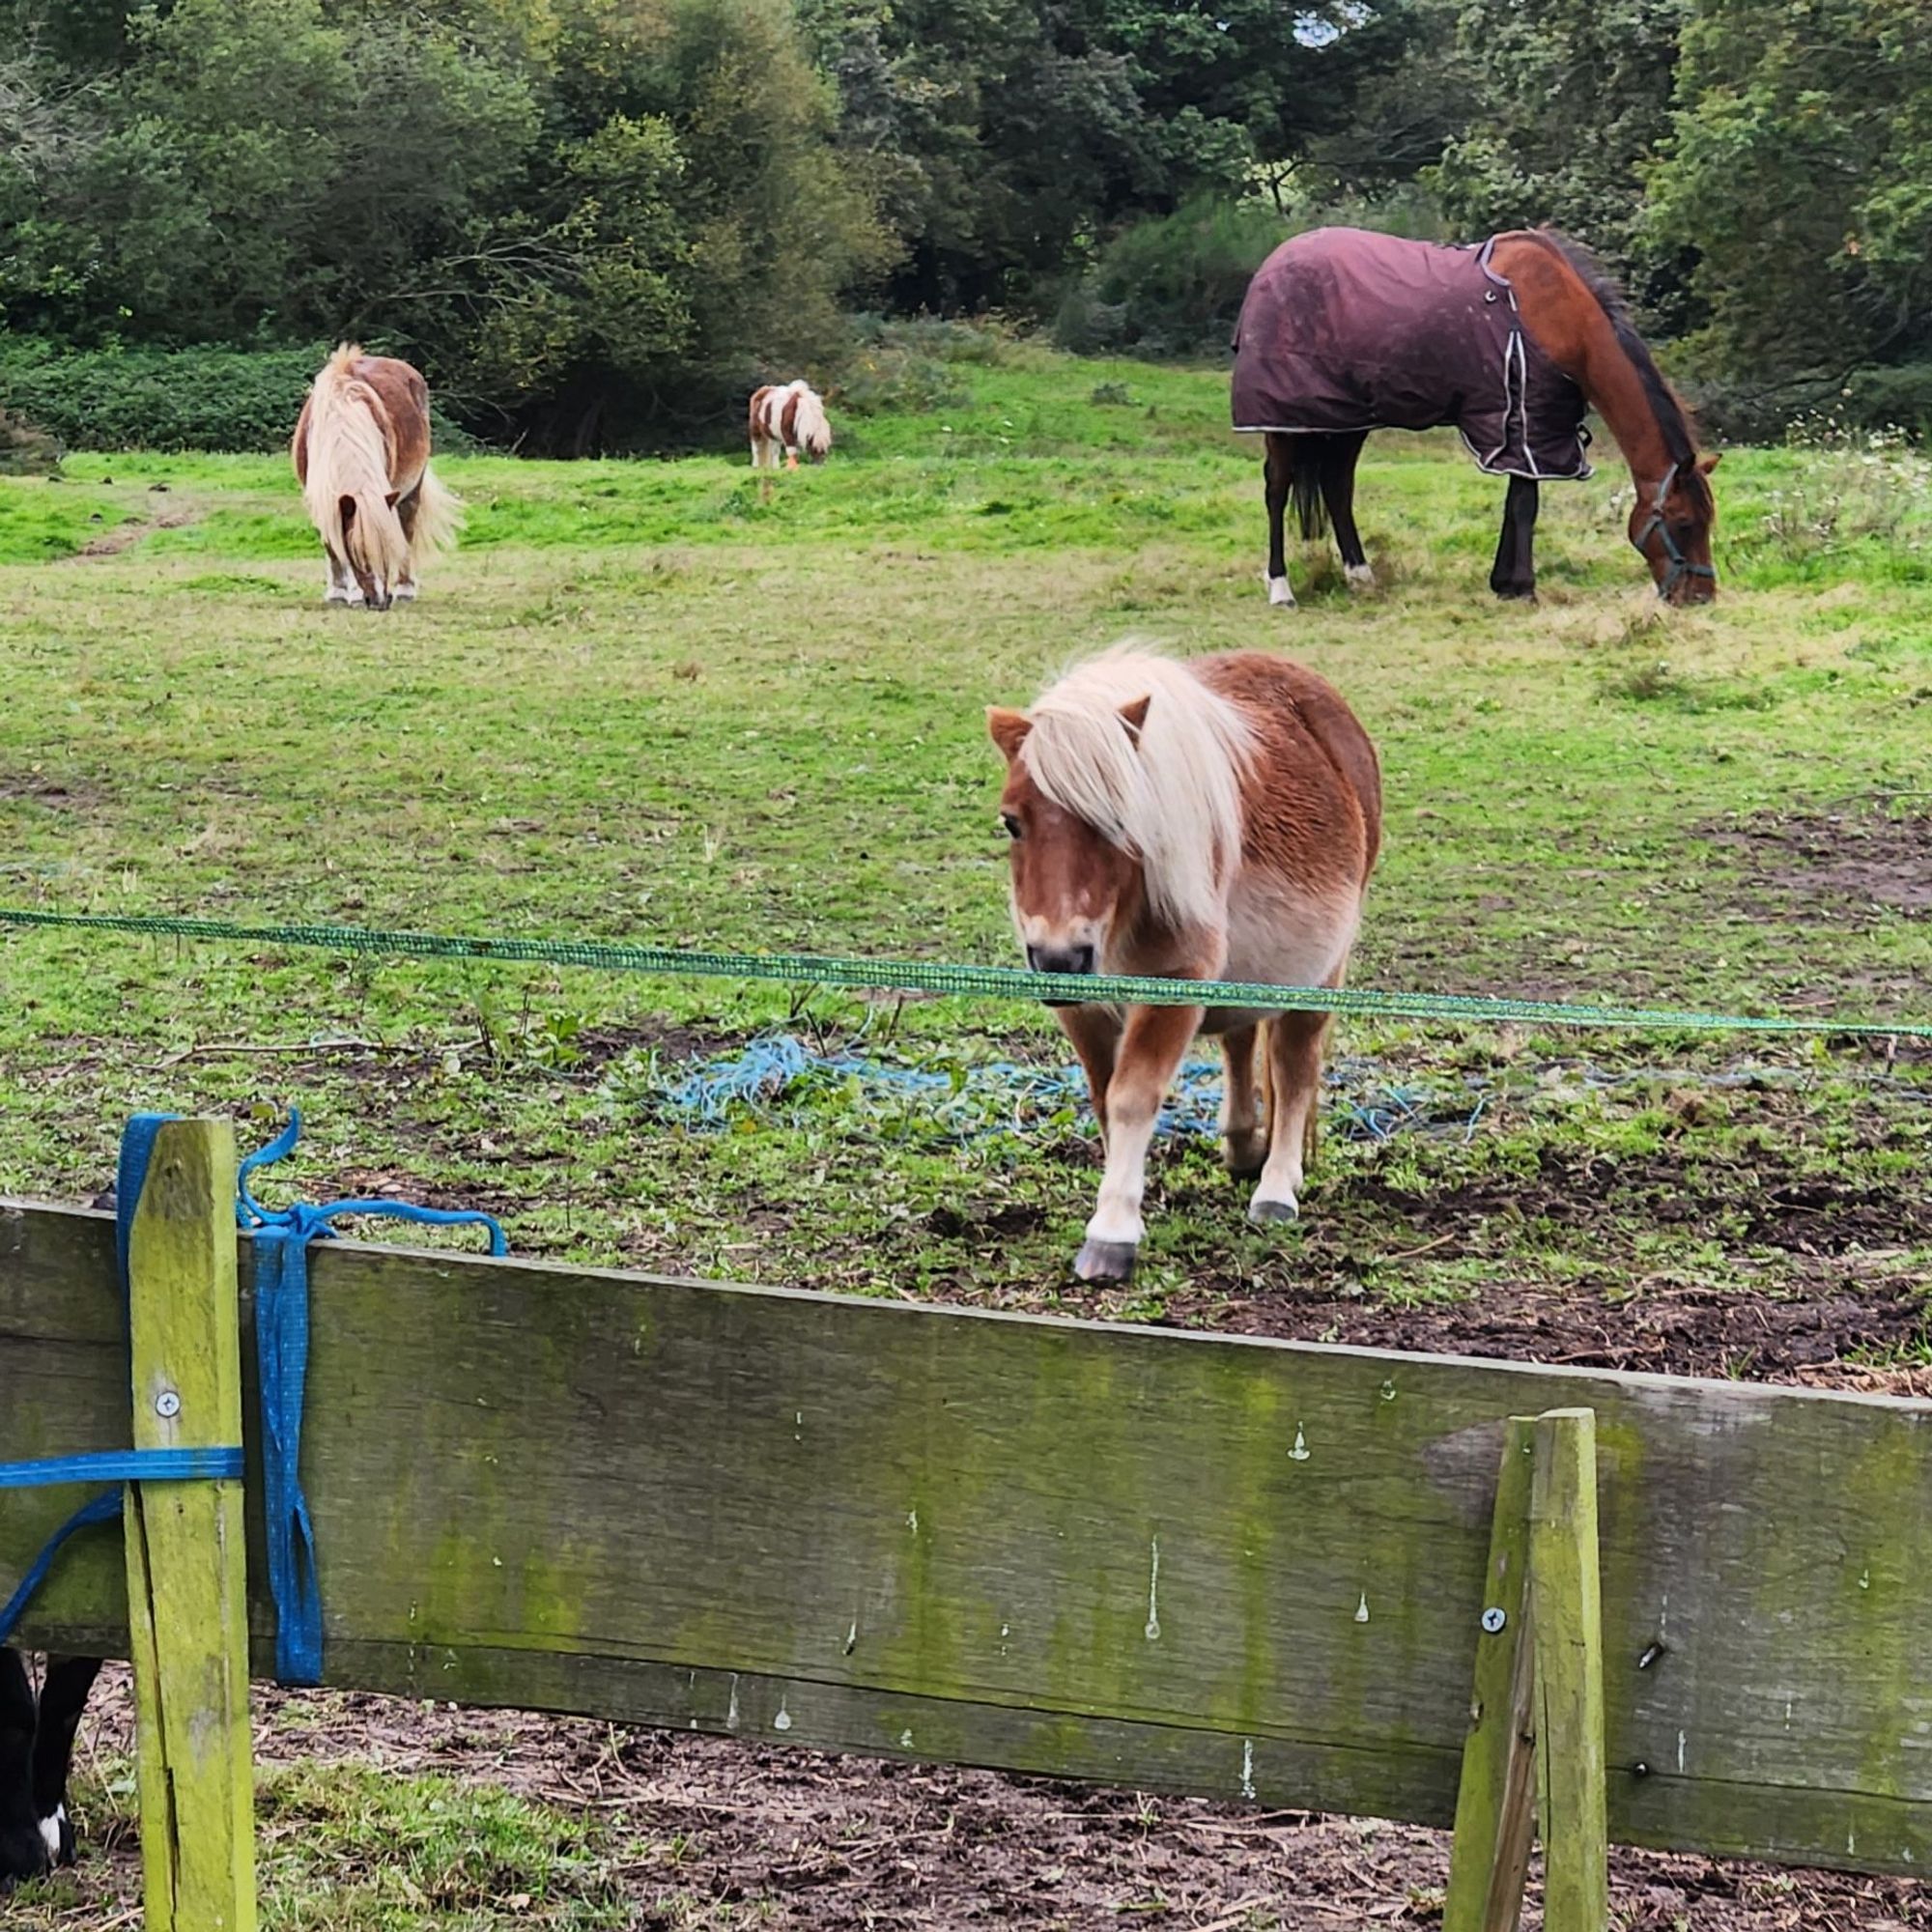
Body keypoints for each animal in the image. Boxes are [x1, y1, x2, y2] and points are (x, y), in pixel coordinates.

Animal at [292, 344, 458, 607]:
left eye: (386, 550)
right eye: (358, 553)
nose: (380, 600)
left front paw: (354, 595)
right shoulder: (320, 497)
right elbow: (332, 545)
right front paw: (338, 592)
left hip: (412, 489)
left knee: (407, 529)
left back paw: (405, 589)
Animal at [989, 645, 1383, 1283]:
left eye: (1119, 820)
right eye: (1011, 822)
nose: (1061, 957)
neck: (1127, 906)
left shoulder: (1173, 988)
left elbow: (1132, 1095)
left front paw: (1111, 1233)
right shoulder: (1084, 1011)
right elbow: (1104, 1097)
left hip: (1321, 973)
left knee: (1294, 1066)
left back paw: (1277, 1187)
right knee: (1241, 1043)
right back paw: (1244, 1146)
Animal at [1229, 232, 1716, 611]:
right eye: (1684, 523)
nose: (1701, 597)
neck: (1563, 320)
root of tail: (1272, 265)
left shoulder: (1526, 427)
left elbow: (1516, 503)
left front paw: (1506, 583)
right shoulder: (1525, 423)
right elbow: (1524, 506)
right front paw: (1523, 588)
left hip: (1346, 418)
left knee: (1336, 486)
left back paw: (1361, 576)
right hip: (1283, 420)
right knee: (1277, 489)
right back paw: (1281, 587)